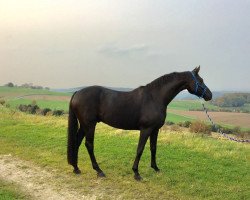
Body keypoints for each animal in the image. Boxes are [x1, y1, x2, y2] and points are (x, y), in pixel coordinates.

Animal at [67, 66, 212, 180]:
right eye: (200, 80)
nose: (209, 95)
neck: (155, 97)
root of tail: (77, 93)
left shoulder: (155, 129)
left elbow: (153, 148)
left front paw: (155, 168)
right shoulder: (146, 129)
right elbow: (140, 149)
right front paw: (136, 173)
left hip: (84, 125)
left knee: (77, 142)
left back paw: (76, 168)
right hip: (90, 125)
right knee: (89, 145)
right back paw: (99, 171)